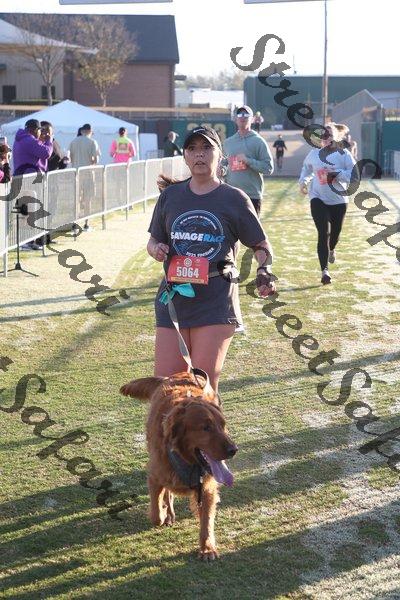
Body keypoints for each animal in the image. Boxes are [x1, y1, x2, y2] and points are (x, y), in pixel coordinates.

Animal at [120, 370, 237, 560]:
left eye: (223, 425)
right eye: (206, 428)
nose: (233, 450)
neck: (187, 461)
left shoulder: (207, 487)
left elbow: (206, 521)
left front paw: (207, 548)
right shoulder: (154, 476)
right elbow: (156, 515)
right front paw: (163, 514)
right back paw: (168, 513)